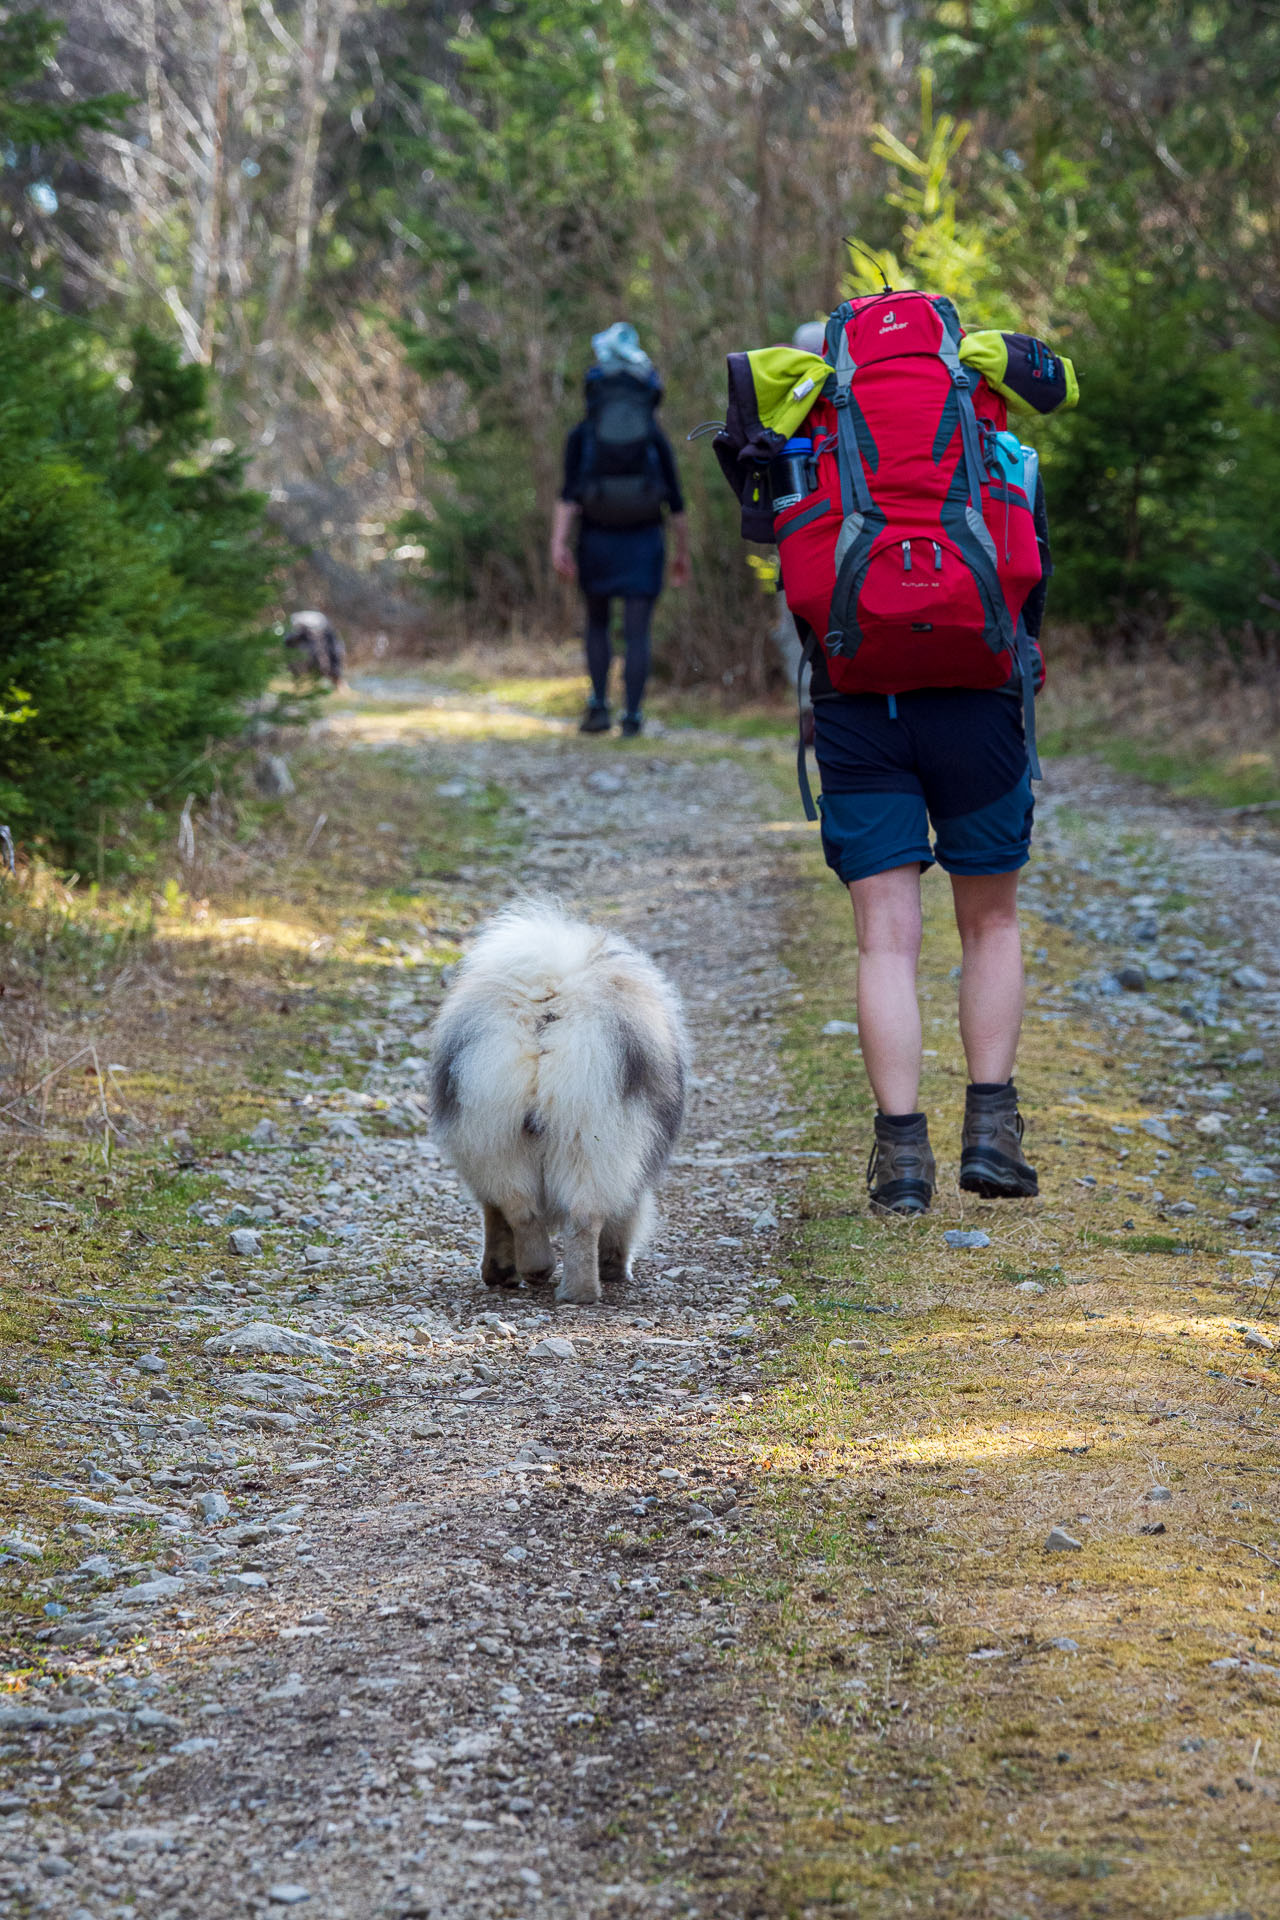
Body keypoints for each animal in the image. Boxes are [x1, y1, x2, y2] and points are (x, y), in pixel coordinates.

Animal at [429, 902, 690, 1305]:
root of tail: (544, 1012)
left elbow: (496, 1217)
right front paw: (615, 1267)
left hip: (496, 1139)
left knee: (519, 1210)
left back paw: (533, 1271)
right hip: (592, 1140)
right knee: (585, 1218)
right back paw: (580, 1289)